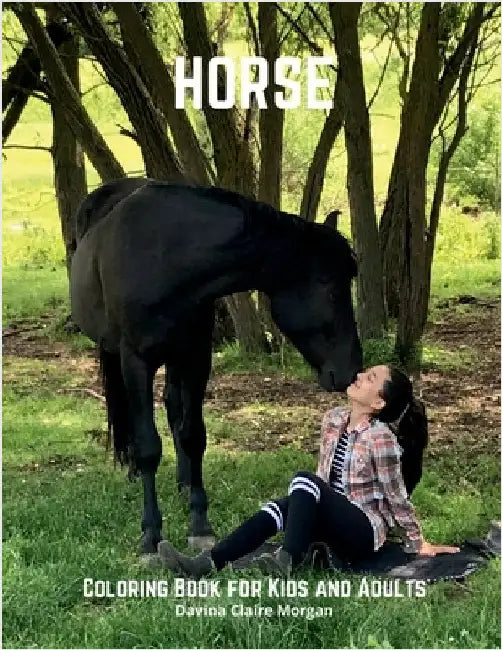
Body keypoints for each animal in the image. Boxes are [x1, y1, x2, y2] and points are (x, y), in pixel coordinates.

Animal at [71, 178, 363, 554]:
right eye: (329, 285)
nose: (351, 369)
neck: (167, 258)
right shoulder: (136, 360)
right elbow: (149, 445)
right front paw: (151, 534)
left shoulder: (196, 356)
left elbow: (193, 435)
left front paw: (199, 523)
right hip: (116, 353)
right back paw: (135, 470)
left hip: (176, 358)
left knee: (173, 407)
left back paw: (183, 482)